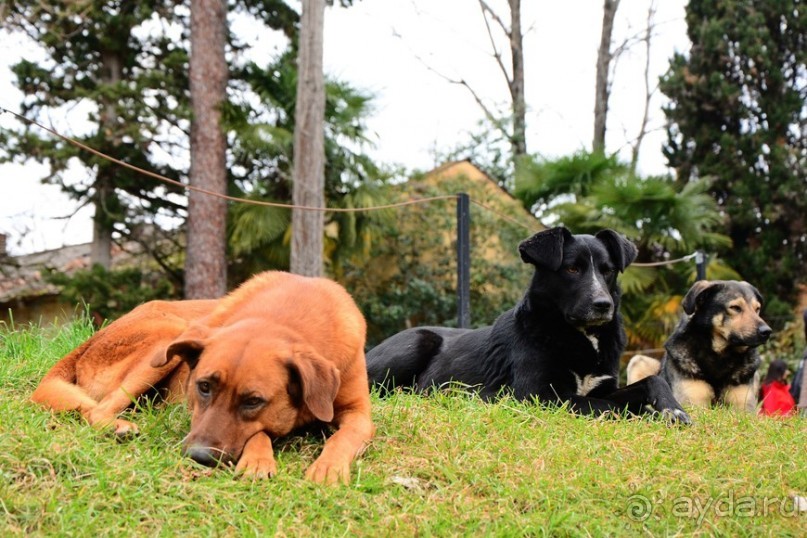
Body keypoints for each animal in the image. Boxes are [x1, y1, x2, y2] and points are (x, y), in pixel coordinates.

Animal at [370, 224, 692, 420]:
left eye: (608, 270)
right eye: (572, 269)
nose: (604, 306)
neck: (577, 334)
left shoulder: (601, 385)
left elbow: (650, 380)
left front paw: (672, 410)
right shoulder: (538, 396)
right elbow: (608, 406)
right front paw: (647, 415)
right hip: (416, 341)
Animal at [628, 278, 772, 408]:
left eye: (757, 309)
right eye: (735, 307)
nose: (767, 332)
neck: (721, 354)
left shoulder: (744, 407)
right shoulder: (693, 403)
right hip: (638, 361)